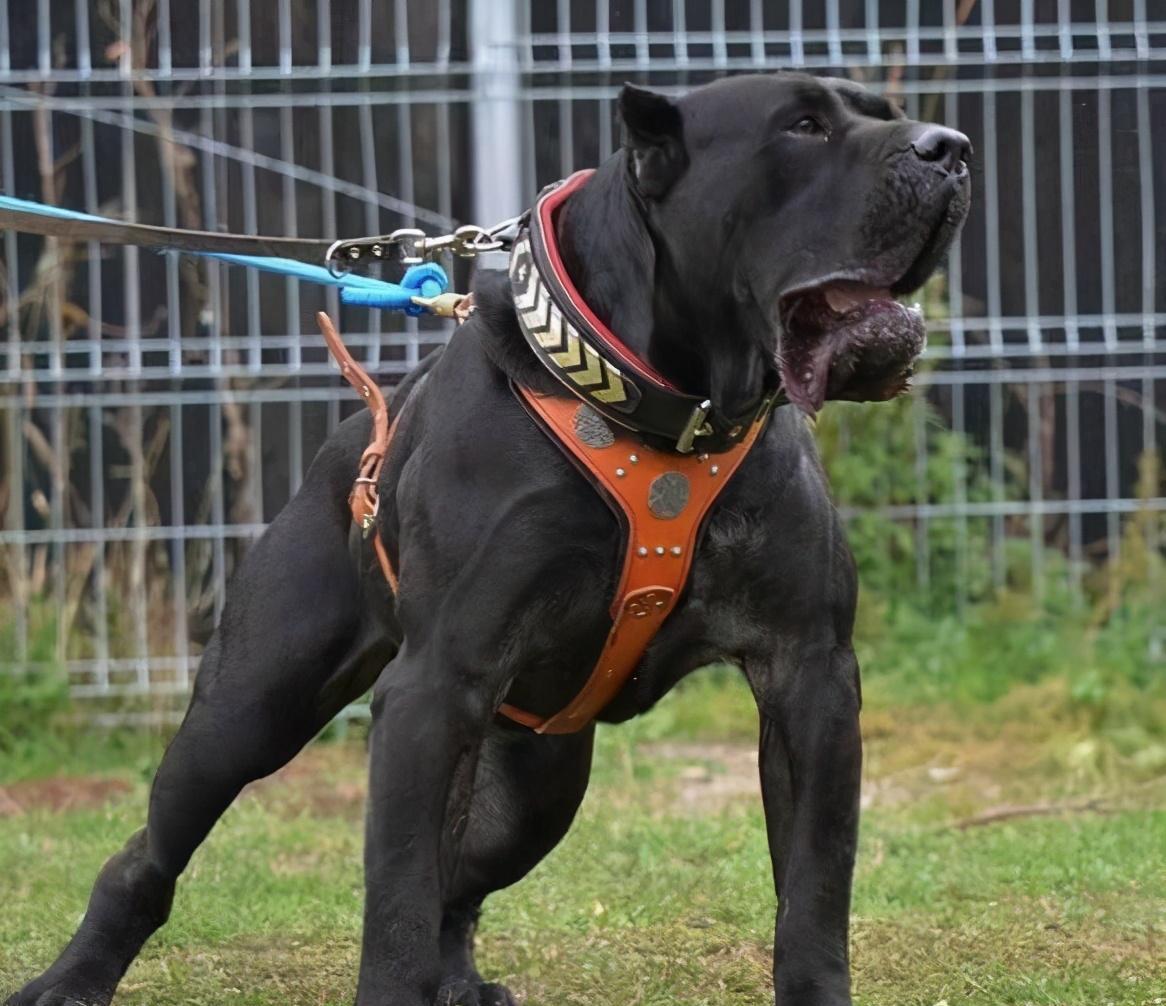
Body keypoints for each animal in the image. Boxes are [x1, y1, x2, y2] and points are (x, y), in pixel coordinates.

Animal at [9, 72, 970, 1006]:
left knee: (459, 883)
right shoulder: (436, 687)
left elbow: (814, 888)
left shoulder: (809, 677)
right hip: (245, 714)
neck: (671, 412)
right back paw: (68, 982)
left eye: (883, 112)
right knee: (150, 857)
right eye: (802, 125)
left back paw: (460, 982)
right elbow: (394, 902)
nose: (952, 148)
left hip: (538, 787)